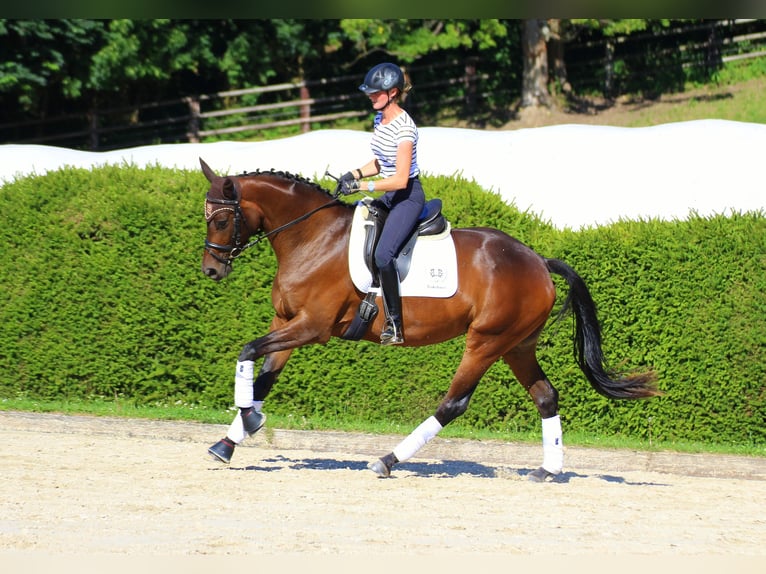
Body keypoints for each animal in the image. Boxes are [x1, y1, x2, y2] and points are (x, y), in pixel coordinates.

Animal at [200, 158, 660, 482]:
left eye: (220, 219)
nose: (211, 270)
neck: (312, 238)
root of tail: (537, 261)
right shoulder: (285, 322)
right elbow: (263, 378)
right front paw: (229, 441)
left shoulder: (312, 327)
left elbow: (246, 352)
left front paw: (249, 420)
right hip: (517, 345)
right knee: (546, 397)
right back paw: (548, 469)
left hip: (487, 340)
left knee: (454, 402)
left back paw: (388, 460)